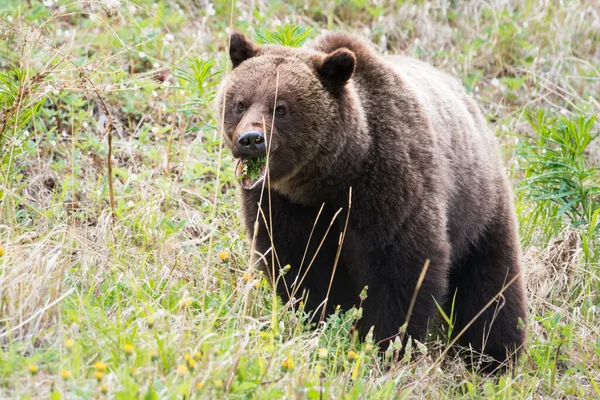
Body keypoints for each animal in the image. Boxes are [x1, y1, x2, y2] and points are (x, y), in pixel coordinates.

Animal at [214, 30, 524, 372]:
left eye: (281, 108)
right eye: (240, 103)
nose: (251, 140)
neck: (331, 178)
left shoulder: (390, 188)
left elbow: (402, 270)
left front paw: (386, 345)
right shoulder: (282, 204)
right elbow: (299, 264)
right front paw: (320, 320)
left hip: (478, 206)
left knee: (491, 285)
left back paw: (493, 357)